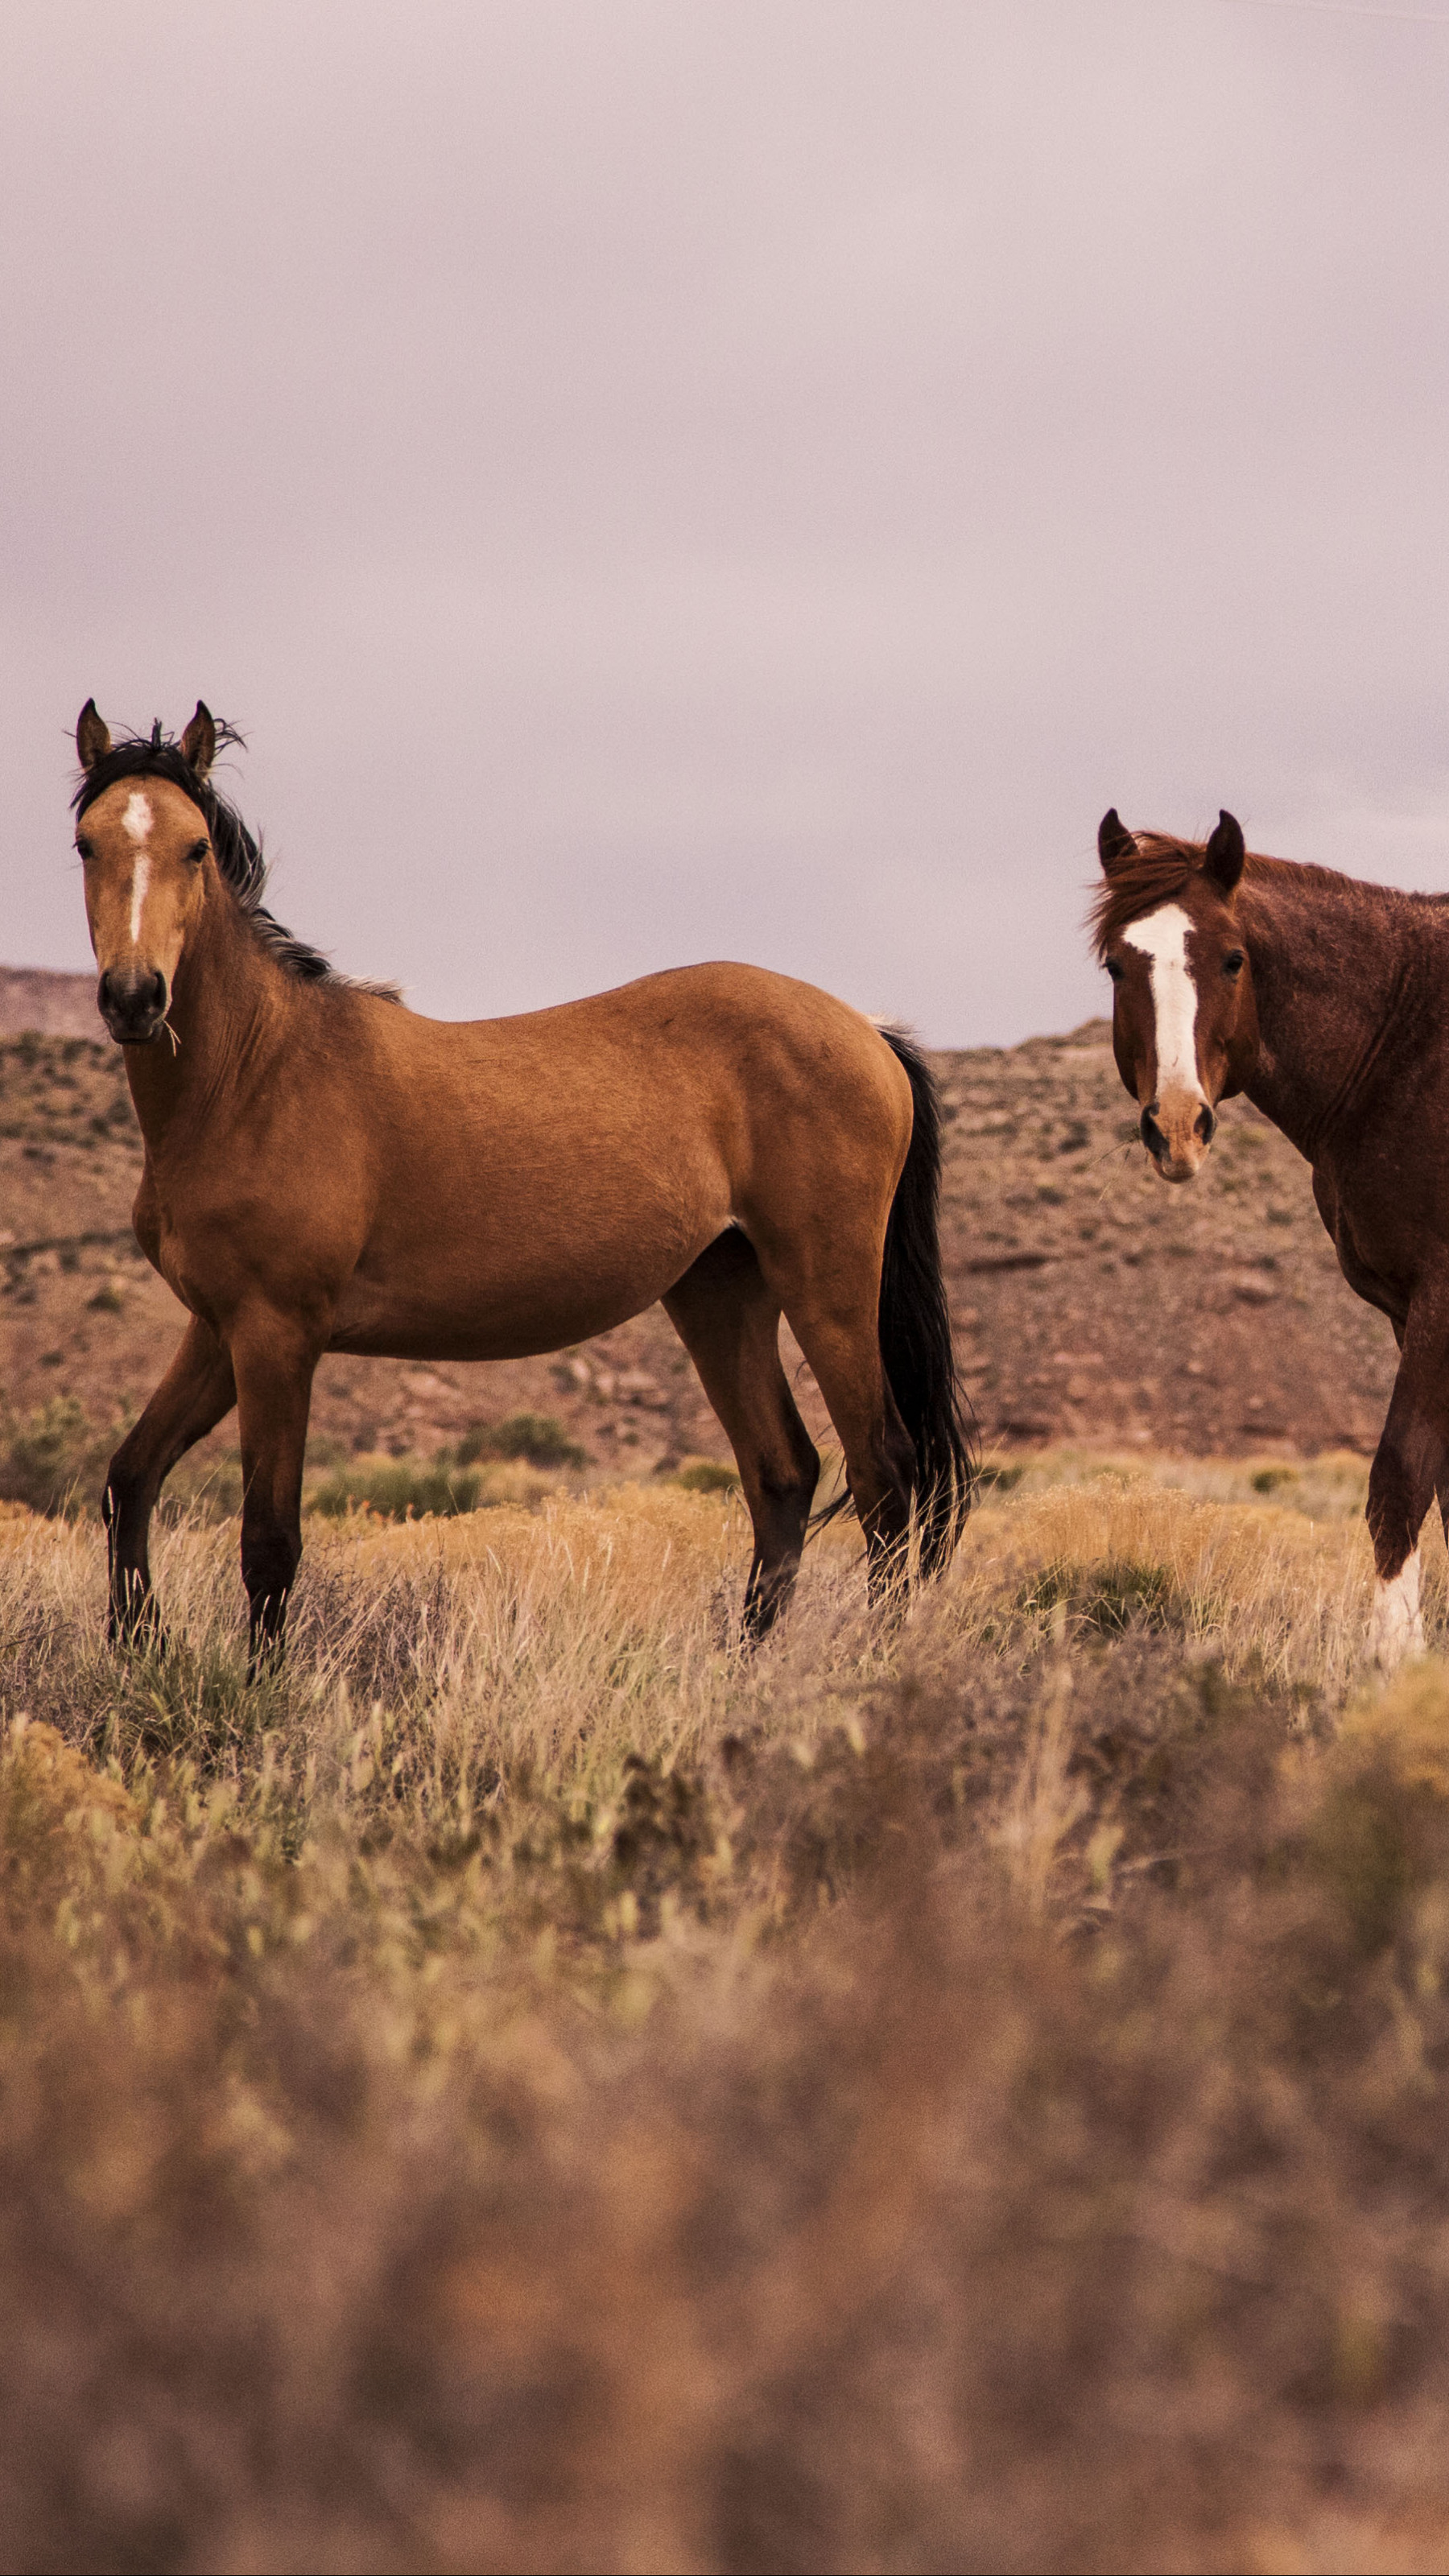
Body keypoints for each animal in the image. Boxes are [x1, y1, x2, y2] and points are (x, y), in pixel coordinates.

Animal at [70, 700, 973, 1663]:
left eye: (196, 846)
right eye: (87, 843)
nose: (135, 997)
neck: (256, 1074)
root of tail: (868, 1030)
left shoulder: (277, 1335)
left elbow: (270, 1539)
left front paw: (257, 1686)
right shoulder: (218, 1329)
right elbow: (130, 1478)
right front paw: (137, 1646)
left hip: (827, 1289)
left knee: (886, 1477)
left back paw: (872, 1661)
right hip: (719, 1294)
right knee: (783, 1472)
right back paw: (745, 1665)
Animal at [1094, 802, 1449, 1668]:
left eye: (1233, 960)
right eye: (1118, 967)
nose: (1177, 1126)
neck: (1408, 1046)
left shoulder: (1441, 1296)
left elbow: (1400, 1476)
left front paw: (1392, 1660)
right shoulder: (1407, 1308)